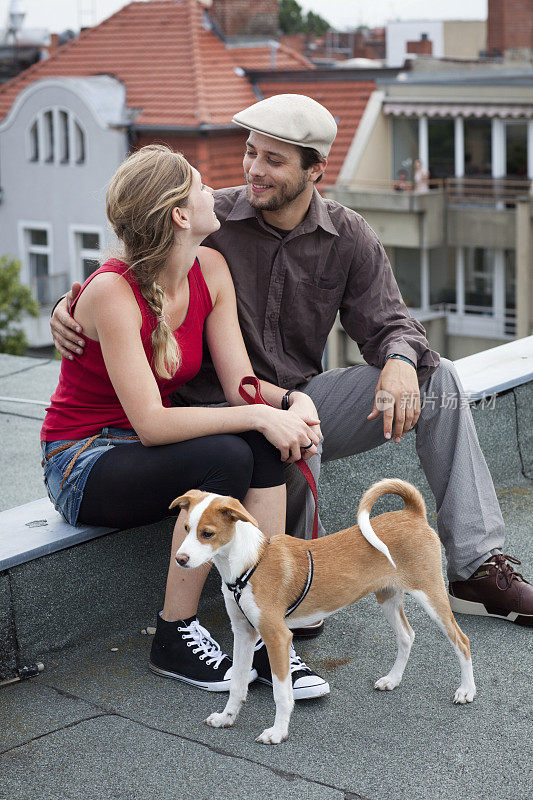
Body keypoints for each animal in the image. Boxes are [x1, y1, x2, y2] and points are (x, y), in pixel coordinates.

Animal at [172, 476, 476, 744]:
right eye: (186, 528)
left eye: (207, 534)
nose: (180, 560)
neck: (249, 565)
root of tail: (413, 514)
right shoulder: (244, 633)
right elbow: (237, 683)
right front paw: (227, 717)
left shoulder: (277, 637)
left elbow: (281, 693)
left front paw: (277, 733)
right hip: (387, 597)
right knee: (407, 635)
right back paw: (393, 679)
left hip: (431, 594)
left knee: (462, 641)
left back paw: (466, 691)